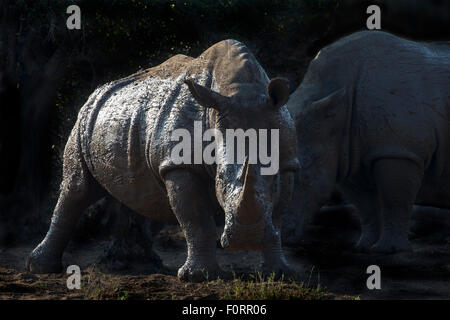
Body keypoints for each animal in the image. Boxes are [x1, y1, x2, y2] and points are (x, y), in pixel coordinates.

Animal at [29, 39, 300, 280]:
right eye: (220, 180)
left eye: (274, 178)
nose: (247, 239)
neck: (240, 91)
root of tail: (95, 92)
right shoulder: (180, 163)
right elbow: (197, 220)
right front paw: (197, 277)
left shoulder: (288, 162)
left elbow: (278, 217)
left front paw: (280, 274)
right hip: (83, 120)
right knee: (76, 190)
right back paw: (41, 268)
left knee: (137, 192)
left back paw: (138, 266)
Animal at [286, 31, 450, 252]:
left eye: (305, 177)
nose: (283, 236)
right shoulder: (347, 156)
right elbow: (366, 206)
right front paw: (363, 246)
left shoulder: (398, 150)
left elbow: (394, 200)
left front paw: (389, 250)